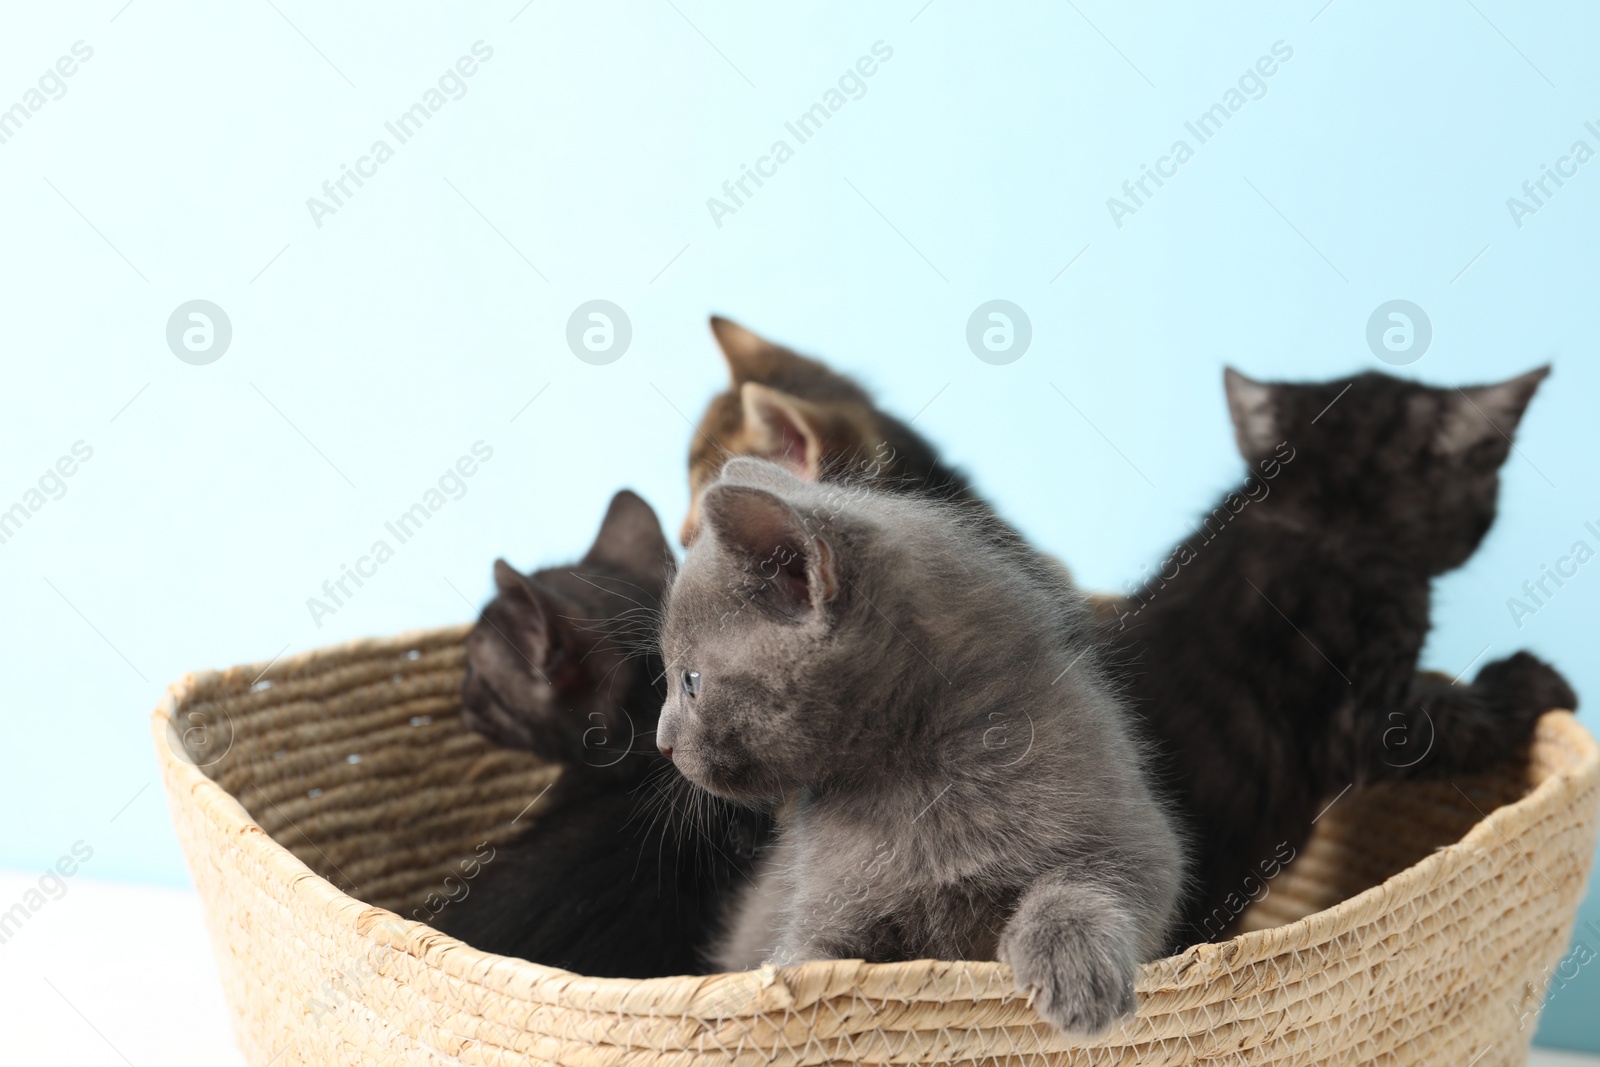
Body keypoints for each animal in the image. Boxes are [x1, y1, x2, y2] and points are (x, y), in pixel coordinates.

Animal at [652, 457, 1190, 1036]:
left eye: (690, 681)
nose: (661, 744)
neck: (914, 776)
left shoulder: (1132, 835)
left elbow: (1084, 885)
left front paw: (1072, 963)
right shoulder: (828, 908)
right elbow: (806, 958)